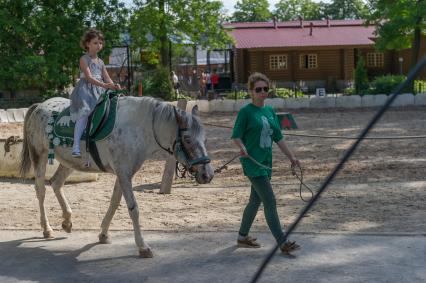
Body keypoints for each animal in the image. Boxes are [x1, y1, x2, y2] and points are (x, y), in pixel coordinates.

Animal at [19, 96, 213, 258]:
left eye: (204, 138)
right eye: (187, 139)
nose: (208, 175)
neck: (137, 128)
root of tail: (40, 106)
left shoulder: (123, 174)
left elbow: (114, 203)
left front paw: (103, 234)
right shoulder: (124, 174)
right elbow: (133, 209)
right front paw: (143, 246)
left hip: (70, 162)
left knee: (56, 183)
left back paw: (67, 221)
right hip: (40, 156)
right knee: (41, 190)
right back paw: (47, 228)